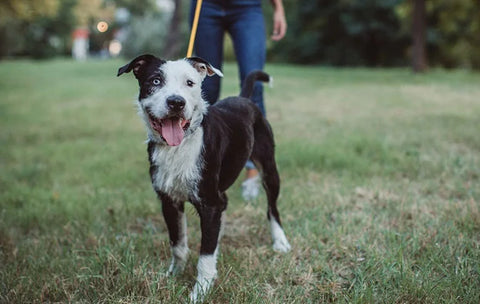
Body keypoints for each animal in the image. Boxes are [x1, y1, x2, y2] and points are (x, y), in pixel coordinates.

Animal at [118, 54, 290, 302]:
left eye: (190, 83)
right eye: (155, 81)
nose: (176, 102)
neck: (180, 145)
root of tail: (243, 99)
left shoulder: (209, 203)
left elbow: (205, 255)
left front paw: (200, 291)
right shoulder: (169, 201)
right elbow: (178, 244)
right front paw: (173, 275)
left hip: (268, 168)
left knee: (272, 208)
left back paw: (280, 242)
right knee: (225, 204)